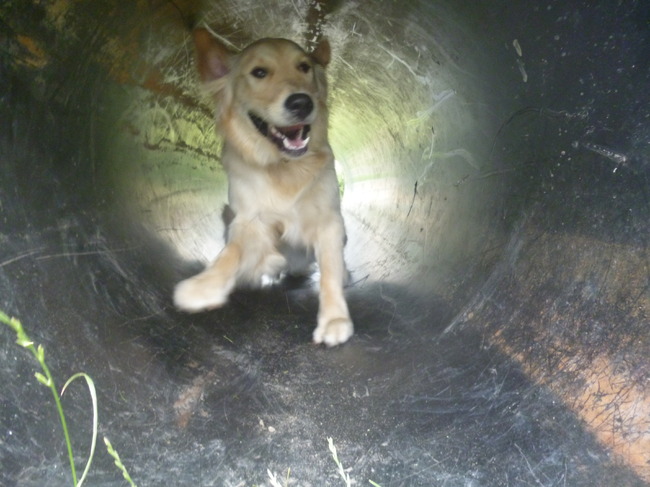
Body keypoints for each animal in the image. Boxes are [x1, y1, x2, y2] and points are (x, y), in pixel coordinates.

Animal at [173, 29, 353, 346]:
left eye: (304, 67)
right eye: (259, 72)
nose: (301, 103)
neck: (284, 166)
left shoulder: (329, 220)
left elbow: (331, 268)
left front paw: (335, 319)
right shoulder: (250, 221)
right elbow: (231, 252)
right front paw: (203, 286)